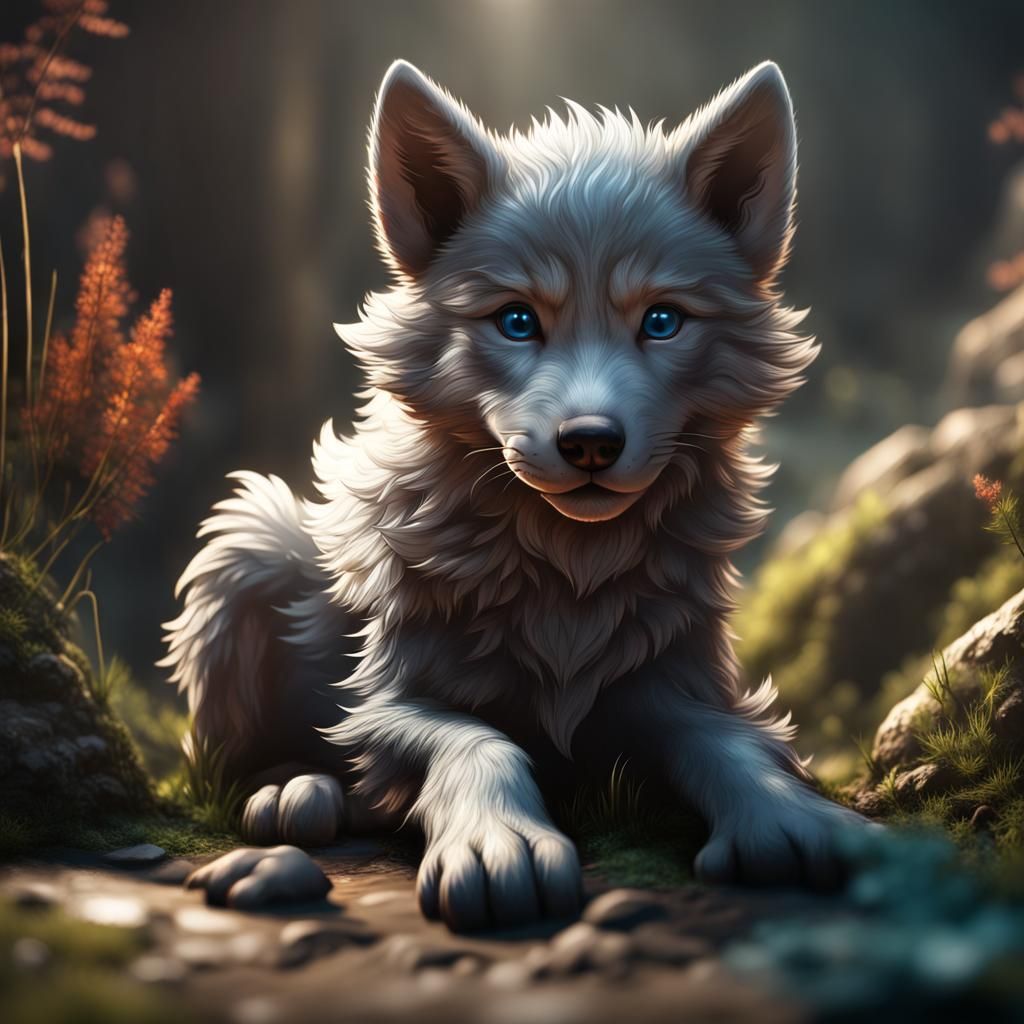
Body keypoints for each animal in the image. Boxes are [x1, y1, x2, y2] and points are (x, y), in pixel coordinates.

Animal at [163, 59, 862, 930]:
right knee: (234, 764)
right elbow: (477, 738)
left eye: (662, 321)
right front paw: (502, 845)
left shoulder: (669, 684)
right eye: (518, 321)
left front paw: (789, 817)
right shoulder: (385, 696)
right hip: (246, 545)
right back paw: (297, 792)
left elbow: (729, 742)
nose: (591, 442)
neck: (568, 572)